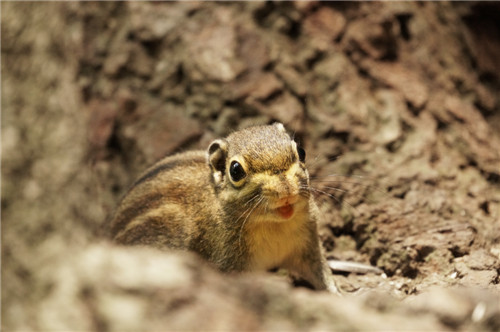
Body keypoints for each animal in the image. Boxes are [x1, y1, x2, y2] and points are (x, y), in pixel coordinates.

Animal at [111, 122, 340, 294]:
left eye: (301, 151)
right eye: (235, 170)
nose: (286, 190)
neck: (273, 224)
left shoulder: (308, 245)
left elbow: (321, 273)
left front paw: (337, 293)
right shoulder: (226, 264)